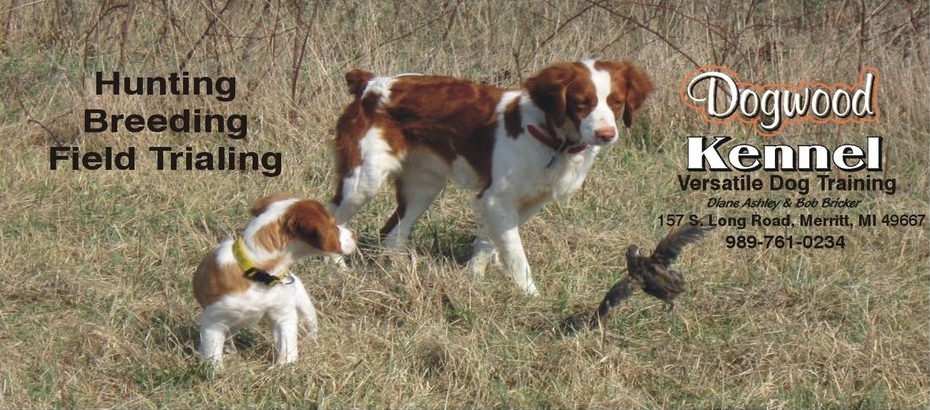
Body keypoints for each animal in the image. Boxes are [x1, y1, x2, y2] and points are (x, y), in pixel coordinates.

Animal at [192, 193, 356, 366]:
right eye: (333, 224)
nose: (354, 235)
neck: (260, 273)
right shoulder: (214, 322)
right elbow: (213, 358)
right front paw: (214, 370)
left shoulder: (283, 315)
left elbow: (288, 349)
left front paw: (287, 367)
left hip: (306, 311)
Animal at [327, 60, 652, 295]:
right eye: (582, 102)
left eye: (616, 102)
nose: (606, 134)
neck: (550, 136)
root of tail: (370, 84)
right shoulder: (498, 197)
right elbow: (516, 254)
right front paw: (530, 295)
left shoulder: (524, 201)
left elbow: (489, 242)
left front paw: (473, 279)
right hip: (364, 180)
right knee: (333, 216)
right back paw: (337, 270)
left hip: (424, 185)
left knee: (393, 233)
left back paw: (399, 273)